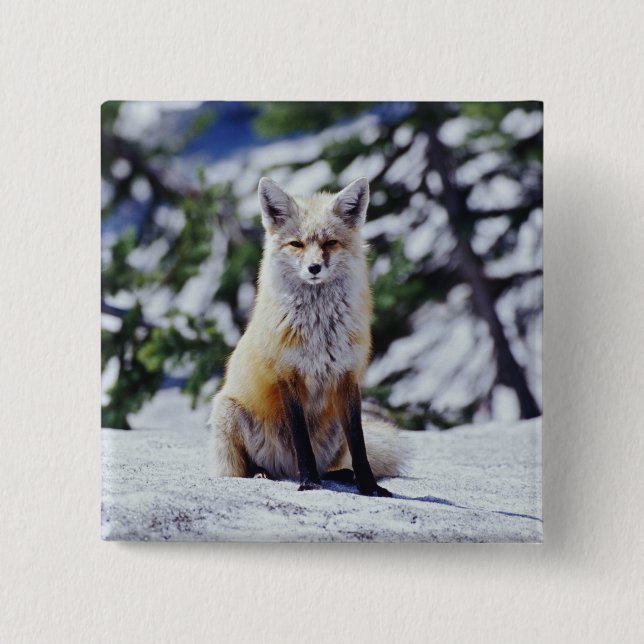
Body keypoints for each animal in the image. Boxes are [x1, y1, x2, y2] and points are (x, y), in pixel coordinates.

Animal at [208, 176, 405, 496]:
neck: (319, 332)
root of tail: (285, 470)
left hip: (334, 430)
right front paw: (310, 483)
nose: (314, 268)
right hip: (228, 412)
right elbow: (301, 441)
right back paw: (263, 473)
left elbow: (360, 444)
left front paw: (369, 486)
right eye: (297, 244)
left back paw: (342, 474)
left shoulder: (348, 376)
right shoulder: (288, 375)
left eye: (330, 243)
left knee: (335, 463)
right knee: (244, 469)